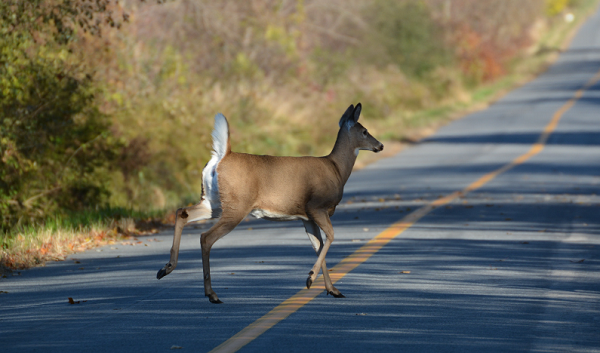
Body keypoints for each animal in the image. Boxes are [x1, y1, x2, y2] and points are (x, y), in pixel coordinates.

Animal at [157, 102, 384, 302]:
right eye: (364, 131)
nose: (380, 145)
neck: (336, 168)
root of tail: (222, 156)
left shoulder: (306, 217)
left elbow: (318, 245)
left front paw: (333, 290)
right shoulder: (316, 206)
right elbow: (331, 237)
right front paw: (310, 278)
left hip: (213, 202)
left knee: (182, 212)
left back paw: (166, 268)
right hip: (236, 206)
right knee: (206, 237)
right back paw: (211, 294)